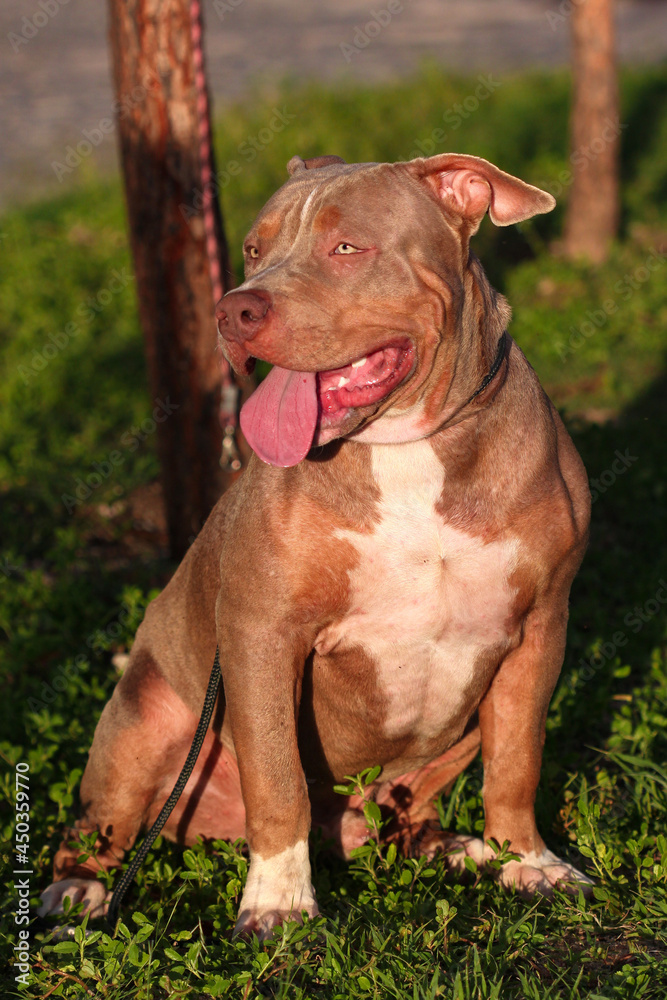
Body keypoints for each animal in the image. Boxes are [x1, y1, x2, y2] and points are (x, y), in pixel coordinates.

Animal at [40, 150, 596, 936]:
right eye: (252, 250)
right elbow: (278, 780)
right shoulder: (261, 636)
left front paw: (527, 861)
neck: (406, 446)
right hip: (147, 715)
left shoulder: (540, 626)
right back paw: (78, 888)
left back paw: (452, 847)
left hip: (453, 732)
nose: (234, 309)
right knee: (102, 820)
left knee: (409, 812)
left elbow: (518, 760)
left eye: (346, 247)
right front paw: (278, 901)